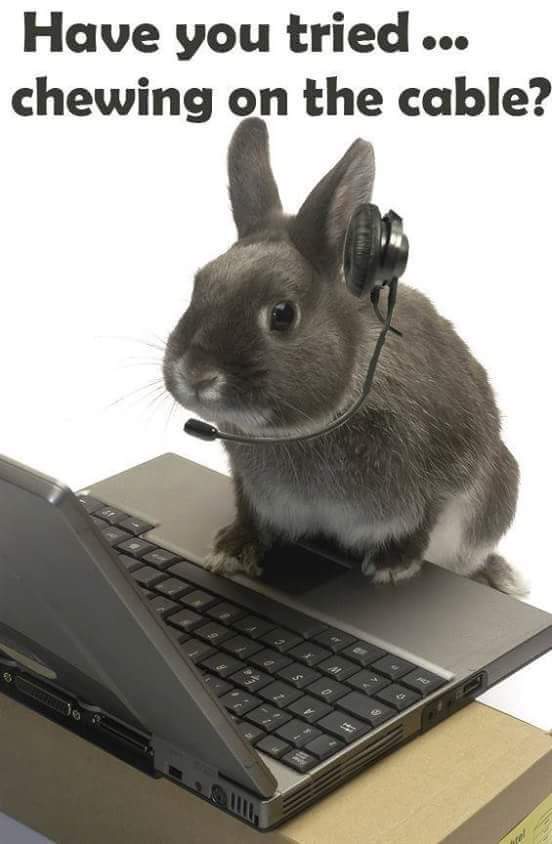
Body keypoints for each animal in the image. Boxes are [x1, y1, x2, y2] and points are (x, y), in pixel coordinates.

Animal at [163, 117, 528, 597]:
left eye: (282, 314)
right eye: (199, 284)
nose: (196, 374)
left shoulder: (450, 468)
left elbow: (427, 517)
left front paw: (394, 564)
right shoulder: (250, 486)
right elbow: (249, 512)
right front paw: (231, 550)